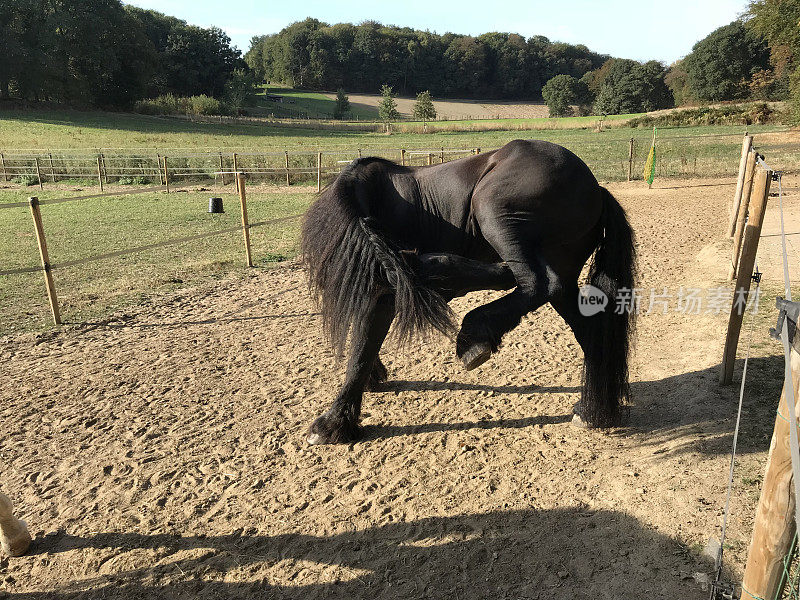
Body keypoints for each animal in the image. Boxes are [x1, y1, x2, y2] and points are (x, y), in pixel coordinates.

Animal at [300, 138, 636, 442]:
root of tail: (596, 188)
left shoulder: (378, 296)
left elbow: (361, 349)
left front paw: (333, 423)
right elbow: (363, 346)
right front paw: (370, 382)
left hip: (493, 209)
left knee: (538, 282)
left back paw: (469, 326)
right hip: (555, 269)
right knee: (581, 323)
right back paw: (592, 411)